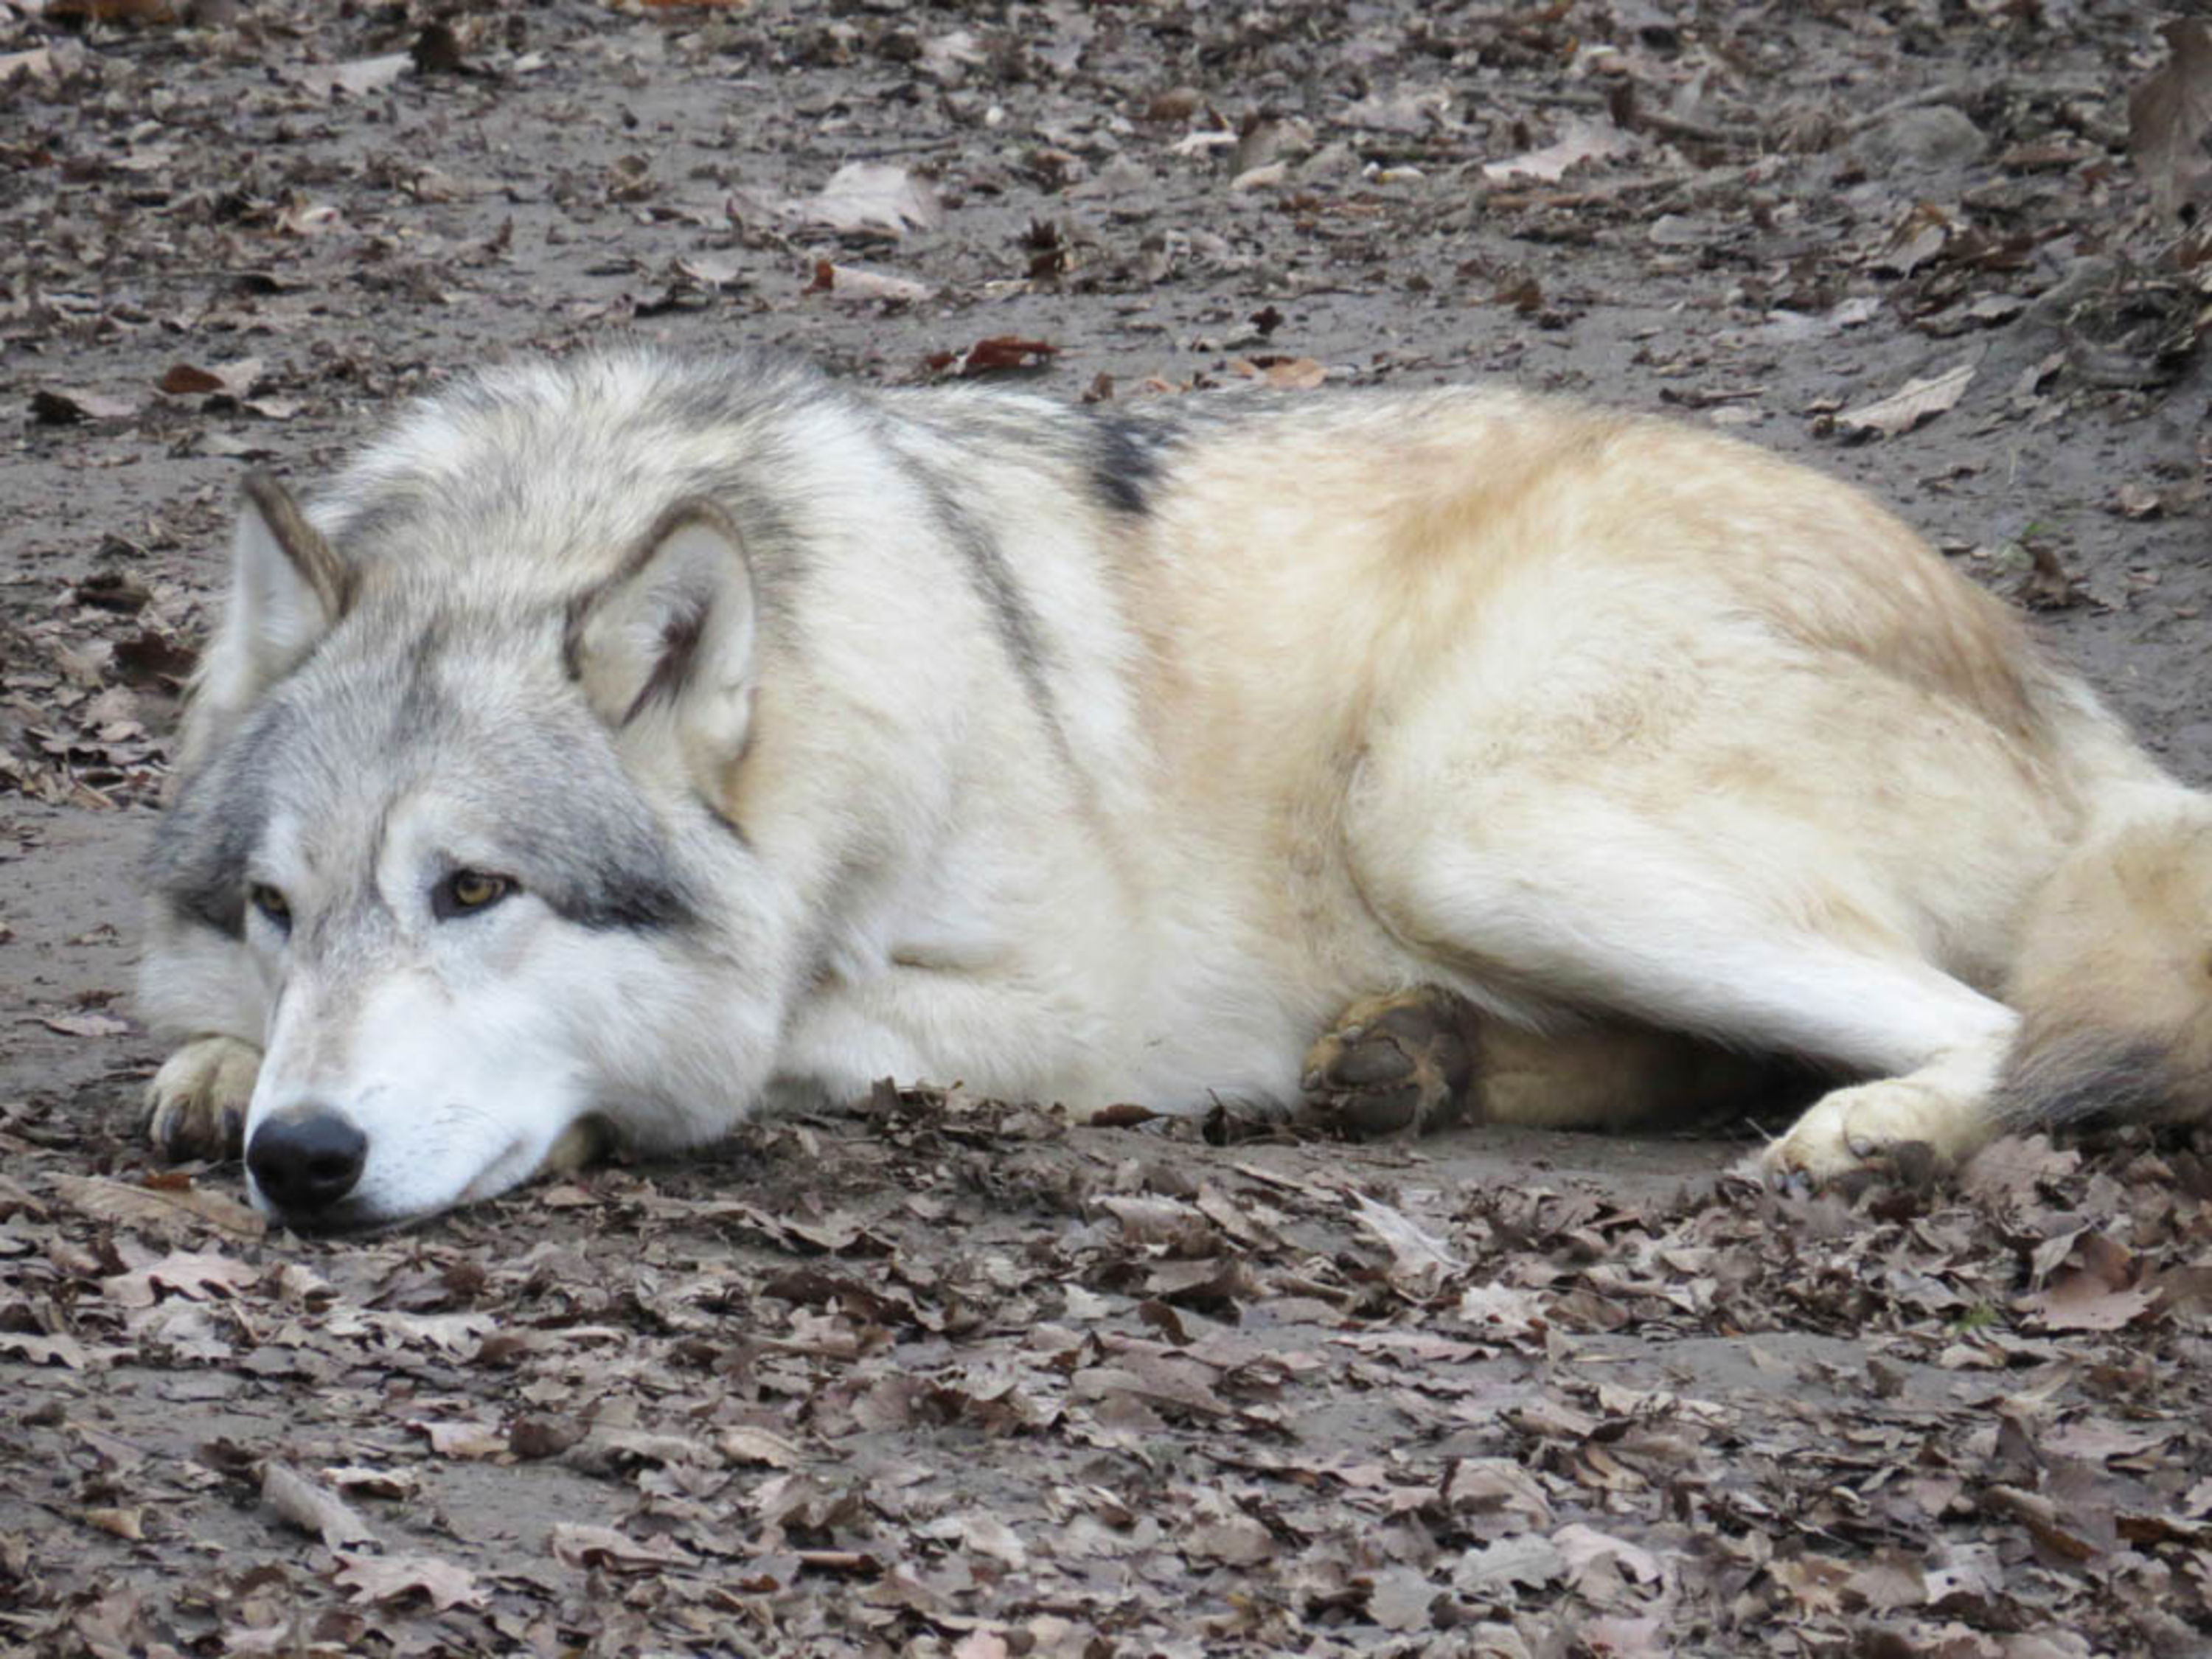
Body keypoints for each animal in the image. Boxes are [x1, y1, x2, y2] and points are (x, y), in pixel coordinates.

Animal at [138, 349, 2212, 1231]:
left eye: (476, 890)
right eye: (275, 906)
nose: (303, 1164)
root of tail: (2052, 677)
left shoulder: (1069, 1005)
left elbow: (744, 1041)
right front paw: (228, 1069)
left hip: (1463, 811)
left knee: (2003, 1028)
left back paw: (1869, 1137)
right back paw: (1408, 1062)